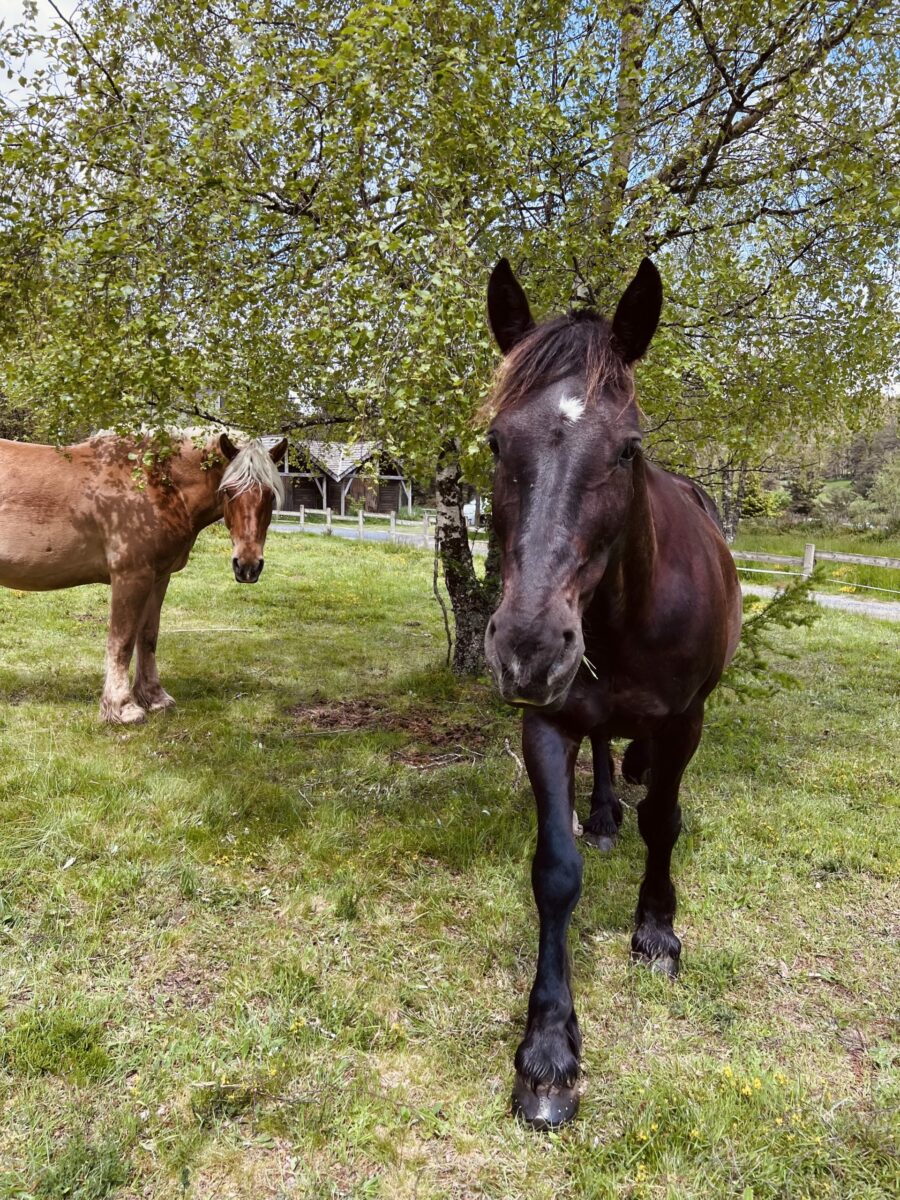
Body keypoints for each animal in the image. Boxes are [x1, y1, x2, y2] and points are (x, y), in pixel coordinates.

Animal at [0, 430, 286, 723]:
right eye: (228, 491)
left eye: (269, 495)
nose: (248, 566)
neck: (154, 483)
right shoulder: (131, 577)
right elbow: (122, 641)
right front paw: (122, 707)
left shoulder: (158, 578)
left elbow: (147, 637)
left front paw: (155, 698)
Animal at [482, 257, 742, 1129]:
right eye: (496, 440)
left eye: (628, 448)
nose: (528, 646)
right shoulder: (545, 723)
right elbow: (555, 873)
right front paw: (548, 1053)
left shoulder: (686, 719)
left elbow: (662, 820)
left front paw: (657, 930)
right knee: (602, 746)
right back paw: (600, 813)